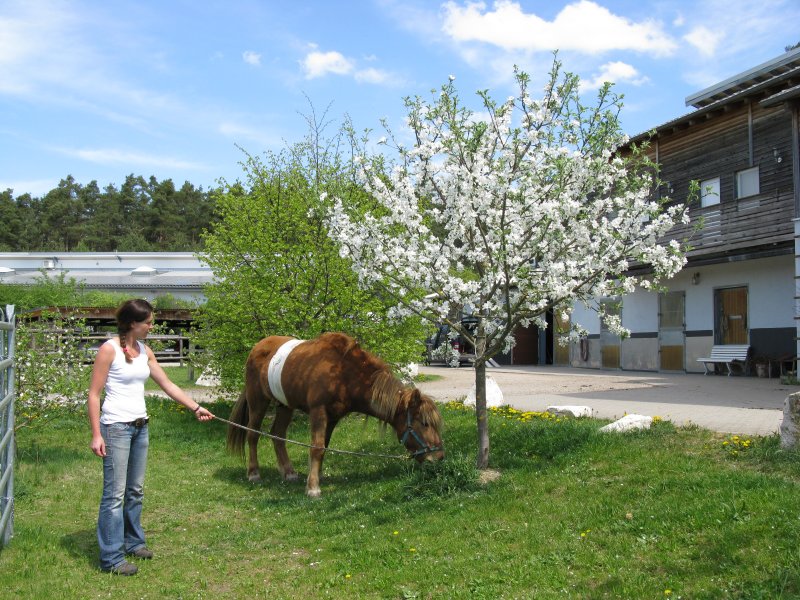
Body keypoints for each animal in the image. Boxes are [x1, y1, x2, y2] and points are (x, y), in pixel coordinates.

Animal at [227, 332, 444, 496]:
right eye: (424, 423)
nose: (439, 457)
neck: (343, 373)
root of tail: (257, 347)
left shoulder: (332, 418)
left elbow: (324, 446)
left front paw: (316, 476)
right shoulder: (318, 411)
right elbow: (316, 447)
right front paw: (313, 487)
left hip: (285, 405)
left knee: (278, 435)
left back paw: (288, 472)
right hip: (258, 401)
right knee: (252, 434)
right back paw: (253, 473)